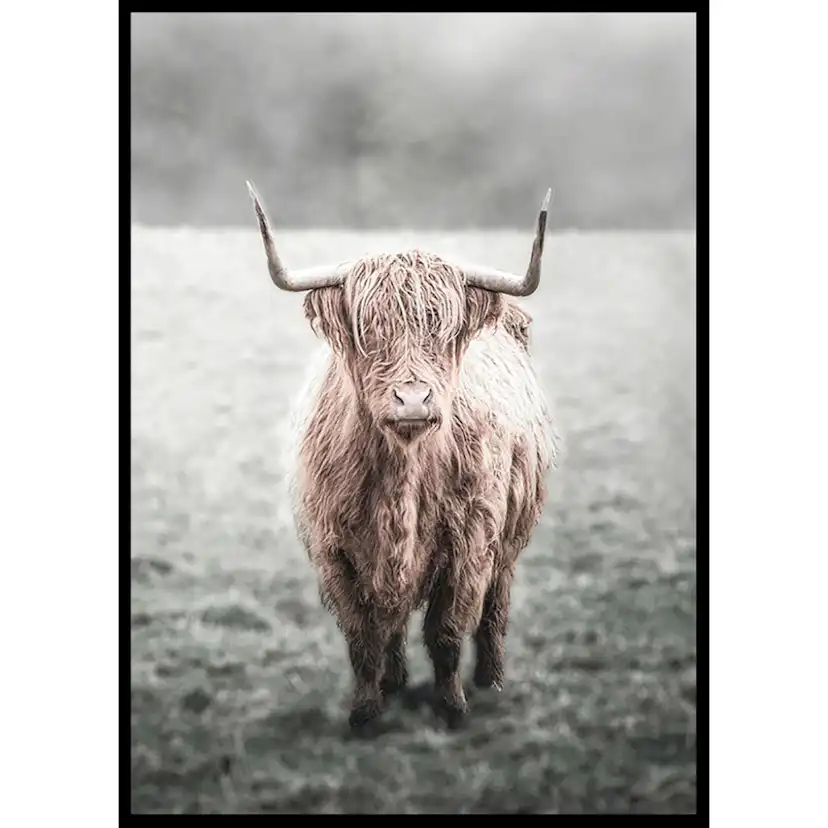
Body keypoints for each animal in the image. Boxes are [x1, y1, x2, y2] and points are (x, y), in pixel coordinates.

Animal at [246, 181, 558, 732]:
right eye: (369, 330)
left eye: (444, 331)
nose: (413, 399)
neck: (403, 475)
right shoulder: (335, 553)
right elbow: (363, 638)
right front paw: (365, 713)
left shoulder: (471, 545)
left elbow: (448, 633)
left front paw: (453, 707)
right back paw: (394, 681)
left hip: (509, 540)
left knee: (494, 608)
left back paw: (492, 679)